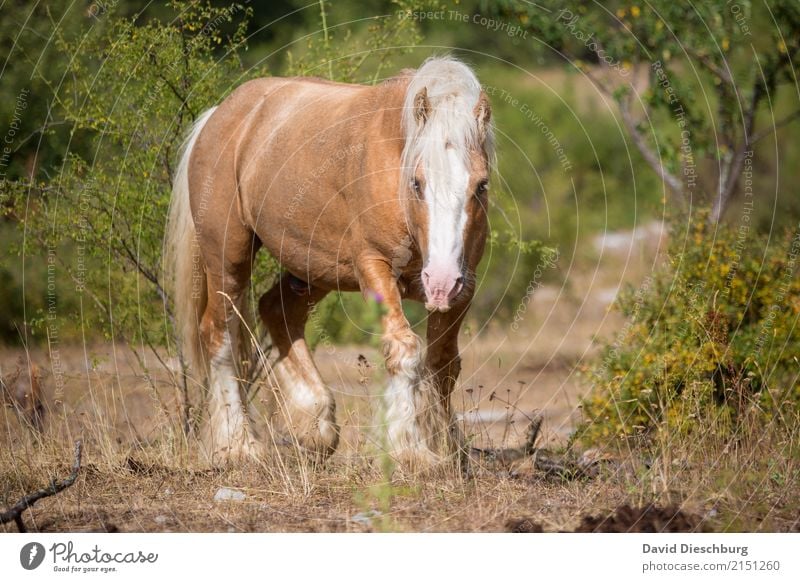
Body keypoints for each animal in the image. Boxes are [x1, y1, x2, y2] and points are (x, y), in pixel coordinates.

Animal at [167, 57, 494, 468]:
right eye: (417, 183)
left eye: (481, 185)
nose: (440, 281)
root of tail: (220, 115)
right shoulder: (374, 267)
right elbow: (405, 350)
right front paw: (411, 451)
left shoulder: (465, 285)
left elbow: (443, 362)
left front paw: (448, 445)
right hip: (228, 258)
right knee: (219, 333)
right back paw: (239, 445)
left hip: (312, 268)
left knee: (278, 310)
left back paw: (315, 423)